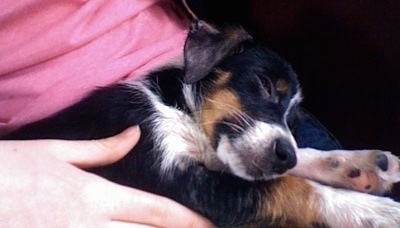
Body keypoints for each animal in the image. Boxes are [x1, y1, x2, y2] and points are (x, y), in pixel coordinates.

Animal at [4, 20, 400, 227]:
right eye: (265, 84)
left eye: (293, 118)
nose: (283, 155)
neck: (180, 112)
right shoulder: (171, 175)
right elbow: (291, 189)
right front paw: (378, 212)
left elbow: (300, 160)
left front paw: (361, 166)